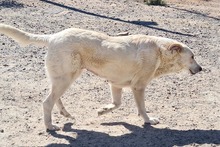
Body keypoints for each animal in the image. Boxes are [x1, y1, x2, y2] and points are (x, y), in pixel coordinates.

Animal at [0, 24, 202, 131]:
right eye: (192, 57)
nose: (201, 69)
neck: (160, 51)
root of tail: (53, 37)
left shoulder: (116, 84)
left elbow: (117, 104)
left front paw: (103, 111)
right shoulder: (138, 87)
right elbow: (142, 108)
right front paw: (148, 120)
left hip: (63, 78)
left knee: (55, 98)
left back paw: (65, 114)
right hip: (66, 78)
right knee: (47, 102)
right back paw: (50, 126)